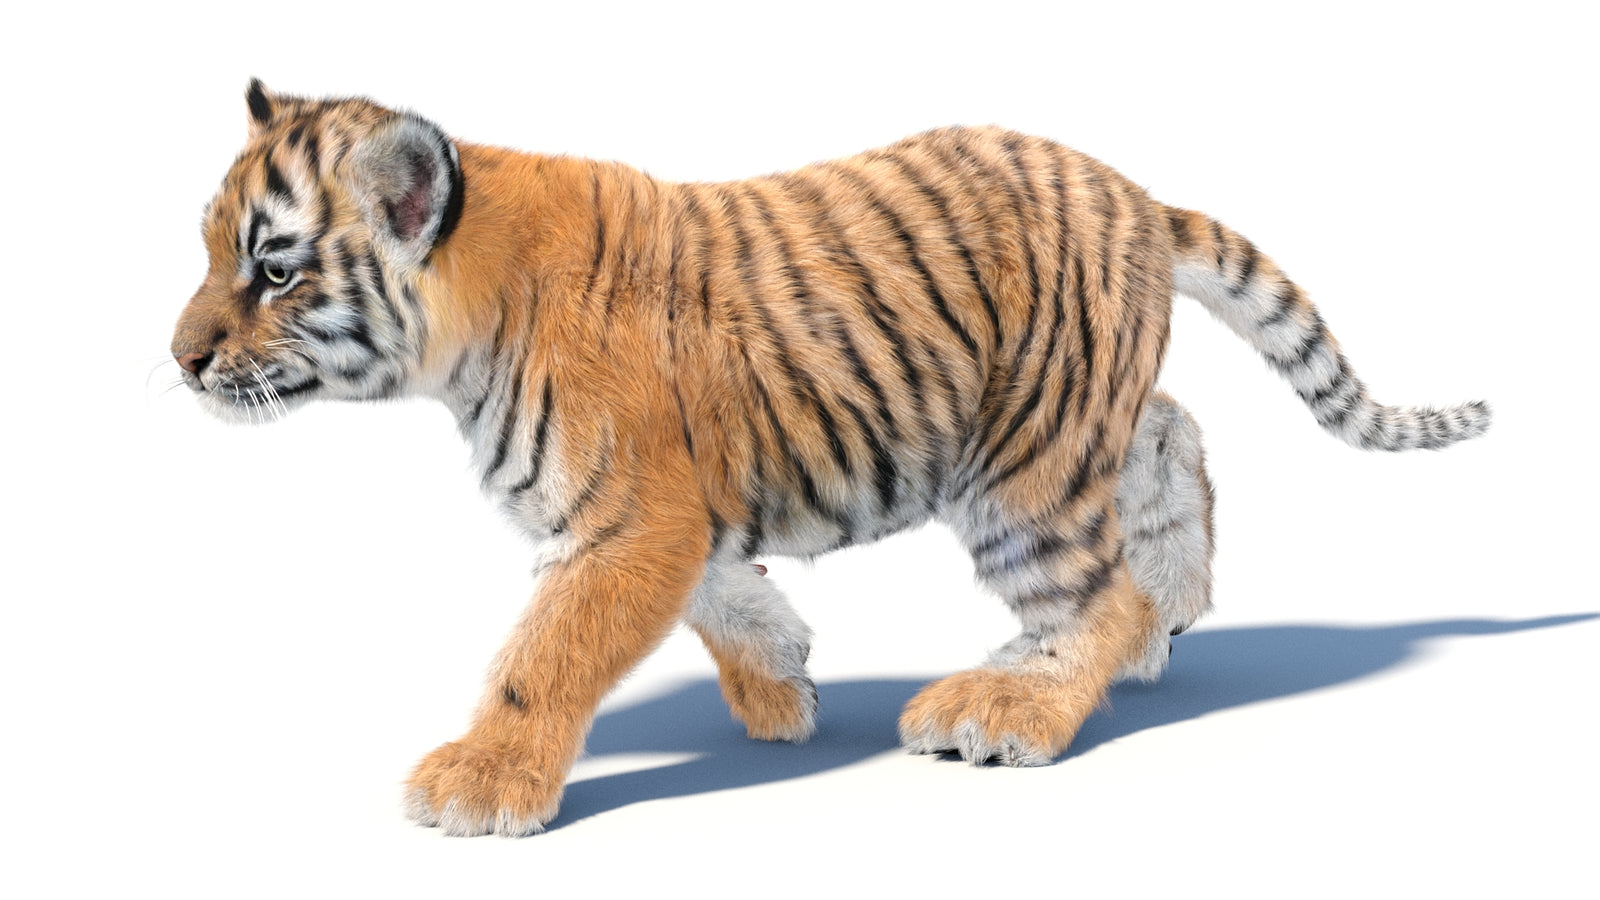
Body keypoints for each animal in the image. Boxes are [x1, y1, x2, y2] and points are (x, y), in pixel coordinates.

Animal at [170, 80, 1490, 836]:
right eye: (209, 249)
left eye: (273, 270)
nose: (179, 360)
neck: (462, 327)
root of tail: (1132, 193)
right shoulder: (665, 511)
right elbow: (716, 596)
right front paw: (781, 682)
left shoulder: (631, 516)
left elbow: (548, 651)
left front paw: (478, 783)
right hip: (1078, 414)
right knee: (1171, 436)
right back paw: (1173, 615)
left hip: (1021, 460)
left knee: (1093, 592)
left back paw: (1011, 704)